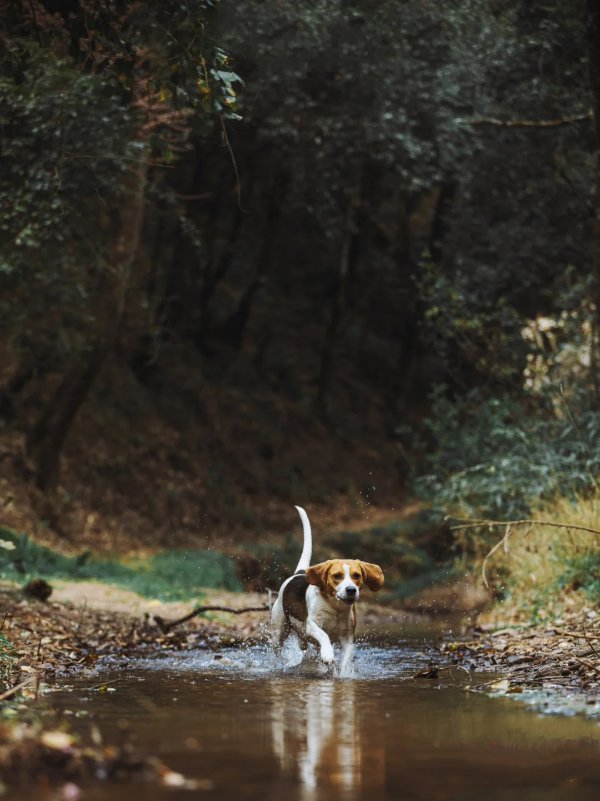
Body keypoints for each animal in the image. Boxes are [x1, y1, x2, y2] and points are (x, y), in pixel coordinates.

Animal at [270, 506, 384, 668]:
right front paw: (328, 654)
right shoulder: (312, 625)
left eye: (357, 575)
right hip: (278, 632)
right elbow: (324, 635)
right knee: (278, 649)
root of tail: (298, 573)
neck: (335, 607)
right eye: (337, 576)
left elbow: (345, 663)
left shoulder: (347, 640)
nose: (351, 590)